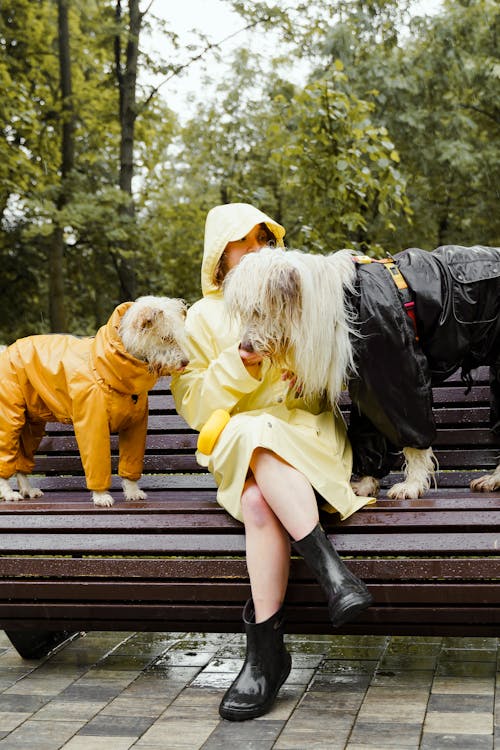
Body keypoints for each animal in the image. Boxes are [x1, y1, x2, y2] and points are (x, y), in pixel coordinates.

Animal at [0, 296, 189, 508]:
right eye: (166, 337)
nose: (185, 362)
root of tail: (5, 350)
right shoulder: (93, 425)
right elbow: (97, 460)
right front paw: (101, 496)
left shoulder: (136, 426)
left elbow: (131, 462)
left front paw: (132, 491)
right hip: (9, 418)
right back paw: (8, 493)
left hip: (32, 424)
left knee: (22, 458)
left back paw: (27, 489)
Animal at [225, 247, 500, 502]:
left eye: (259, 311)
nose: (244, 348)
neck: (345, 304)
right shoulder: (369, 384)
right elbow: (370, 432)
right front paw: (367, 483)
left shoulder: (398, 371)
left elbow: (412, 431)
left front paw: (412, 484)